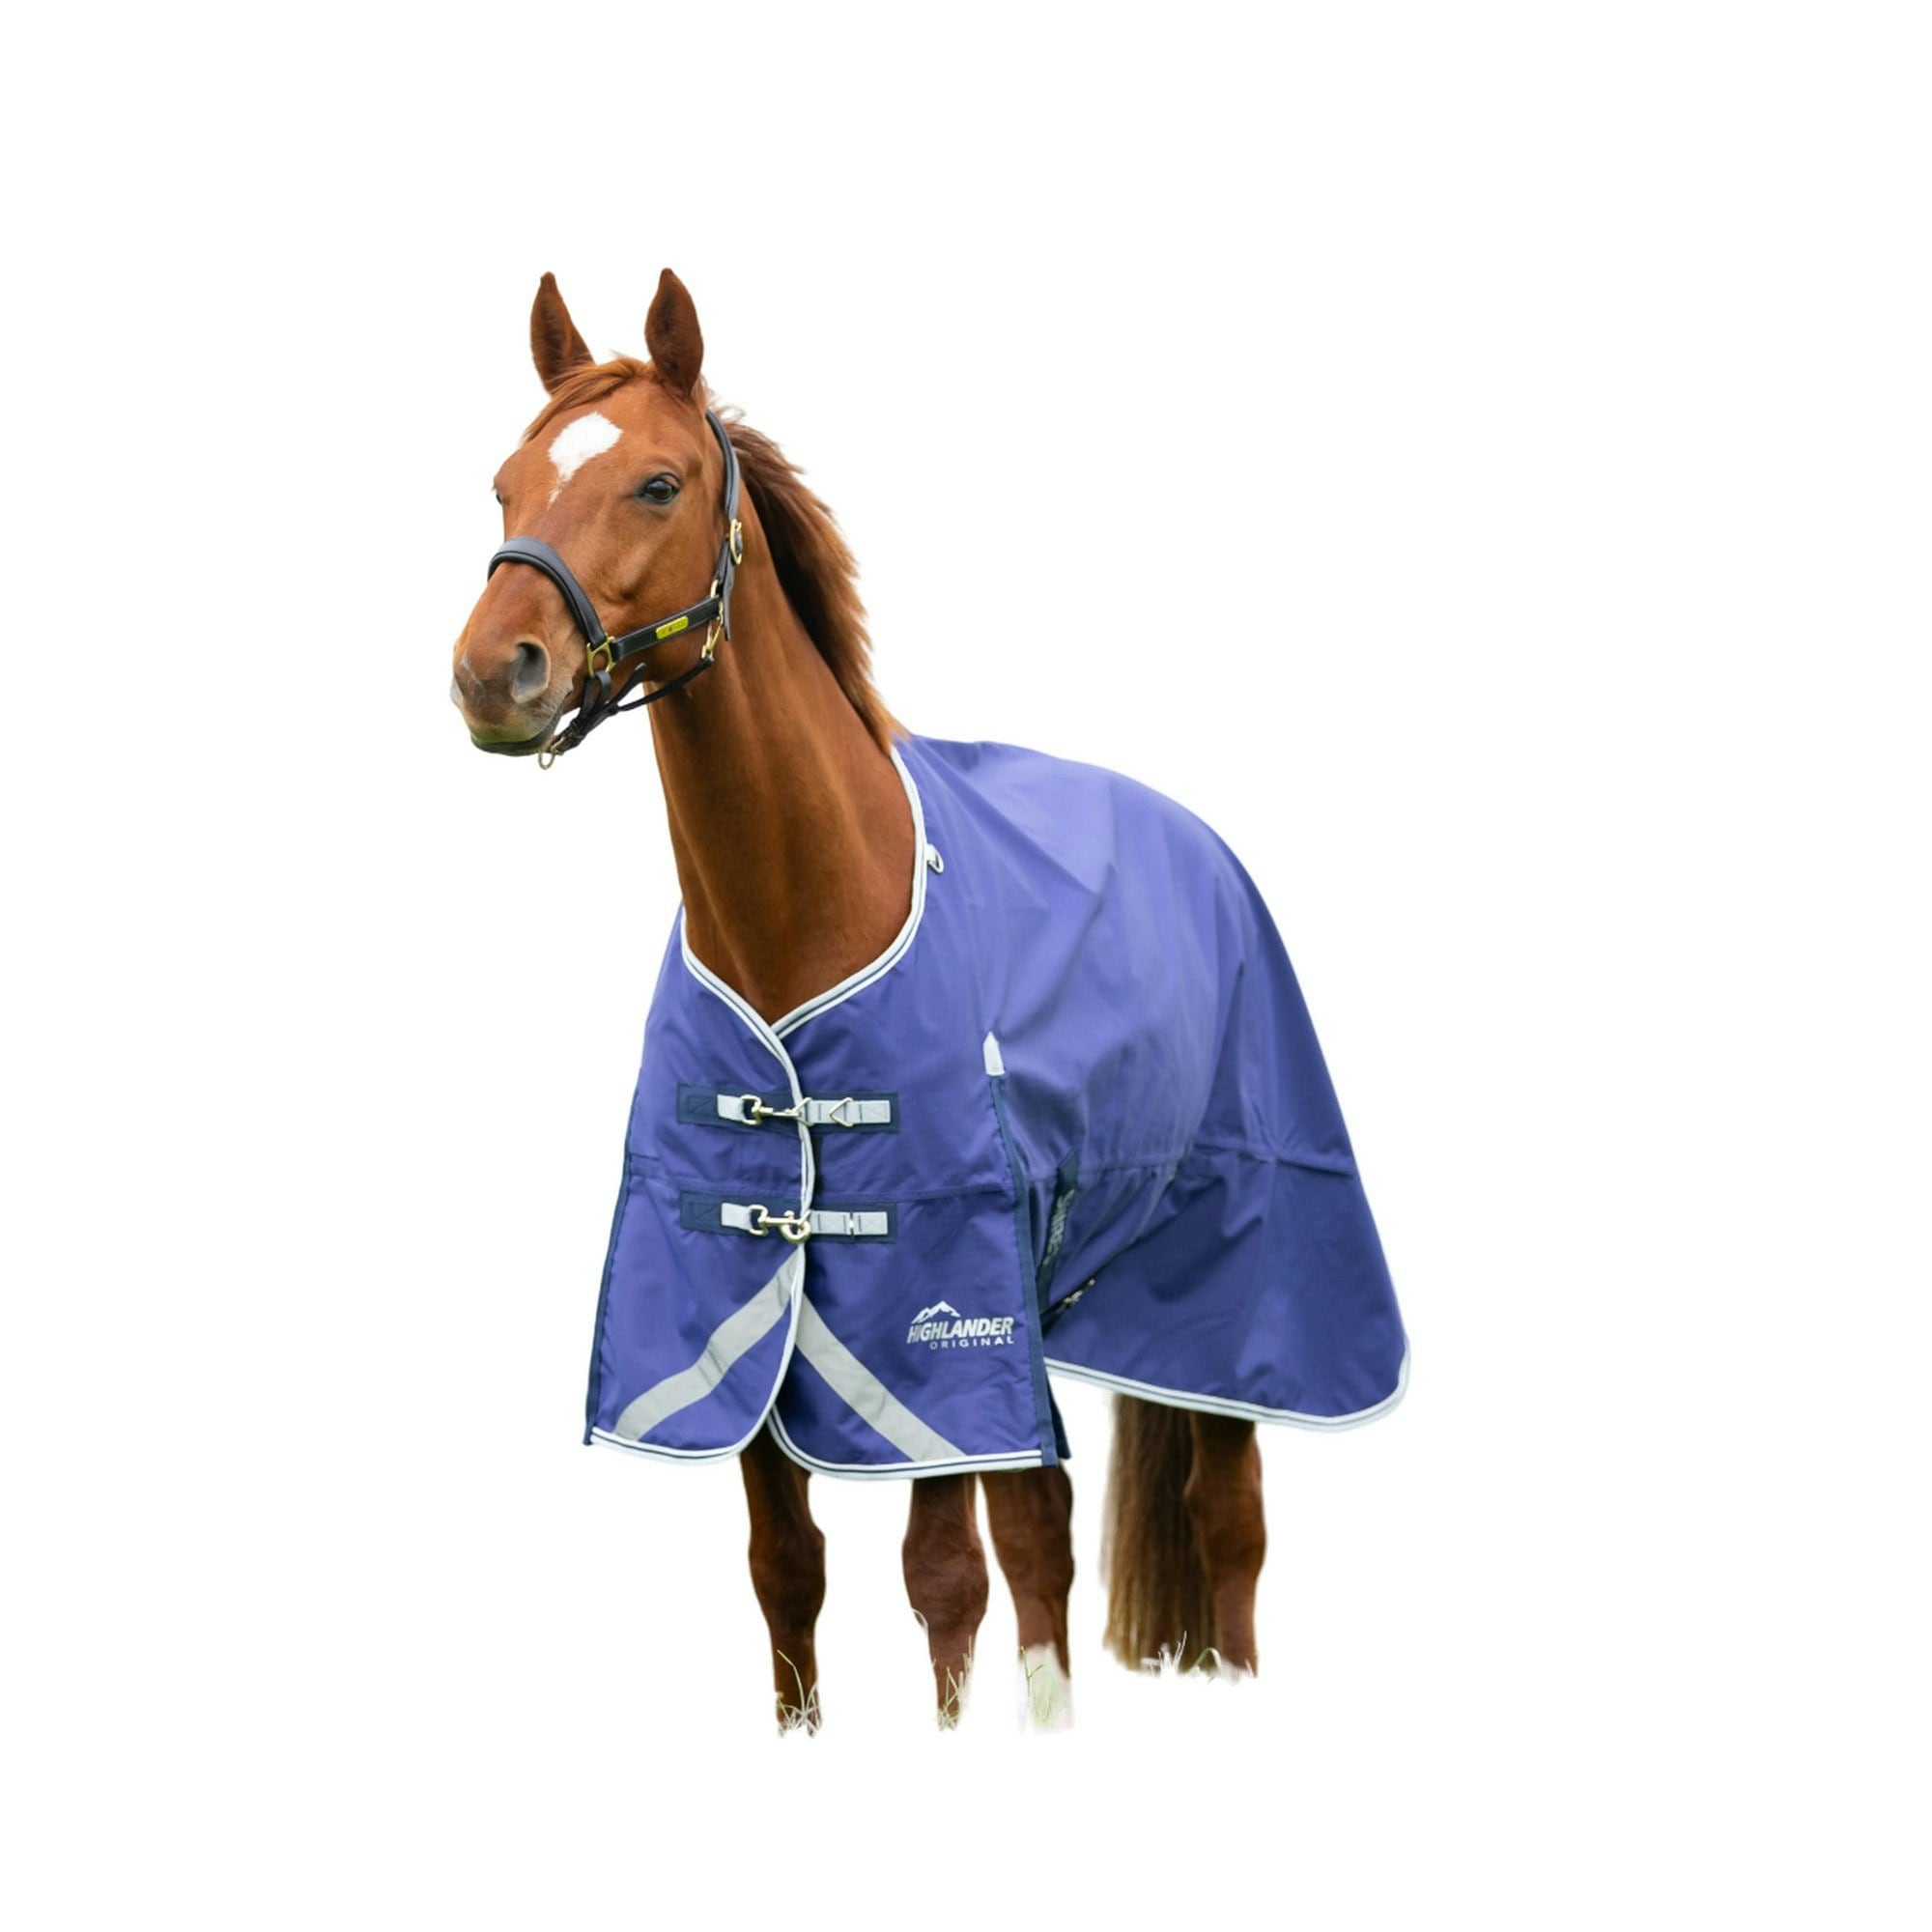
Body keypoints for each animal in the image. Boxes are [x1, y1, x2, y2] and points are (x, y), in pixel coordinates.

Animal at [449, 269, 1407, 1730]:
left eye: (658, 483)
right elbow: (797, 1569)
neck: (805, 912)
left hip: (1238, 1264)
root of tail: (1199, 841)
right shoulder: (756, 1306)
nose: (491, 670)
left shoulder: (943, 1301)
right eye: (505, 484)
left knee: (1219, 1520)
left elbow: (973, 1566)